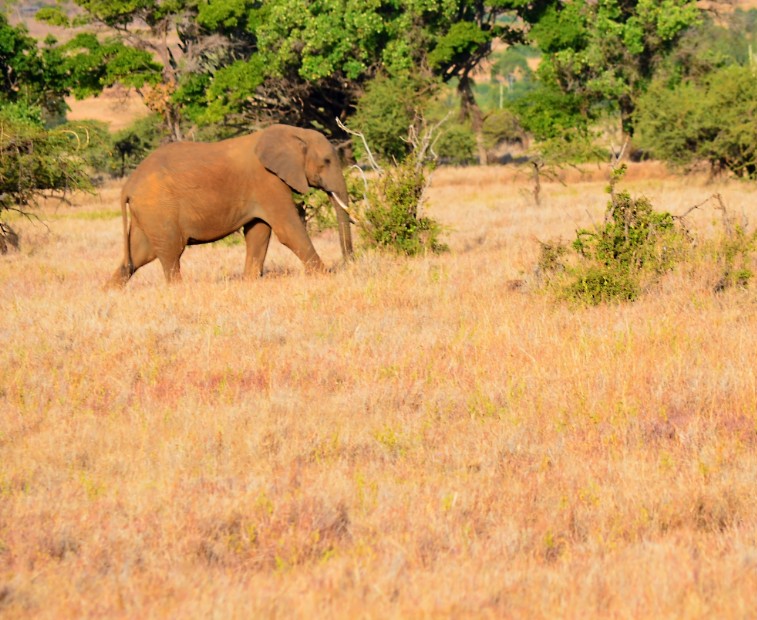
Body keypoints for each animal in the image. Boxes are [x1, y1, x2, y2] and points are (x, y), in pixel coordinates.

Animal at [107, 124, 353, 287]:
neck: (293, 133)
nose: (348, 263)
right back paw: (178, 290)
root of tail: (128, 185)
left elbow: (258, 232)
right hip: (158, 208)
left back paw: (109, 291)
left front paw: (250, 282)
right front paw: (326, 276)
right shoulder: (267, 181)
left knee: (139, 254)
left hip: (148, 212)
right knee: (170, 252)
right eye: (327, 161)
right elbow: (288, 230)